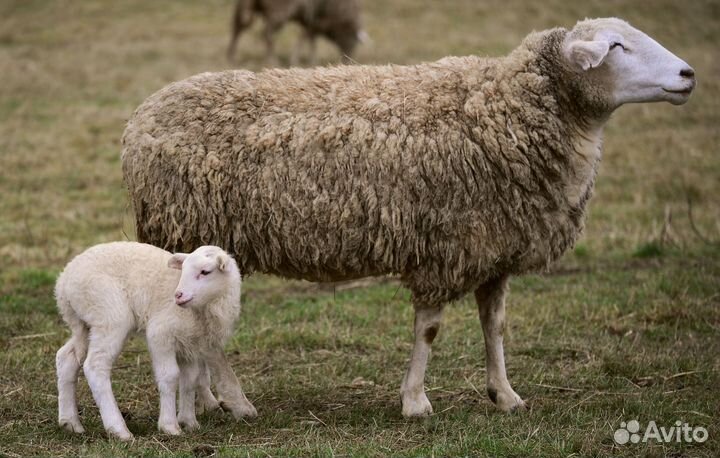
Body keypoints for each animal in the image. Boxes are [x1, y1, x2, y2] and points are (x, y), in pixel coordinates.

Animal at [55, 242, 257, 440]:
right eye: (183, 270)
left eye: (205, 272)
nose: (178, 295)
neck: (205, 309)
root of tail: (64, 282)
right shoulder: (160, 334)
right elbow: (170, 376)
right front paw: (170, 426)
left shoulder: (189, 343)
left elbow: (190, 380)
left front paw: (189, 422)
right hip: (109, 315)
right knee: (95, 366)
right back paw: (118, 429)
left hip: (83, 323)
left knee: (67, 357)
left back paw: (70, 423)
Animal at [121, 18, 696, 417]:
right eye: (616, 47)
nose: (689, 74)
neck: (507, 113)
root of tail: (139, 119)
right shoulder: (445, 247)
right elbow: (431, 330)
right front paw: (416, 402)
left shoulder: (494, 249)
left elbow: (495, 325)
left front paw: (505, 394)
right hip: (194, 231)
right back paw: (236, 403)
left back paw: (208, 402)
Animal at [227, 0, 367, 65]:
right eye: (352, 40)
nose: (347, 60)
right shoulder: (316, 19)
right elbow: (308, 39)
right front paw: (309, 61)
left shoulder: (309, 20)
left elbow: (306, 39)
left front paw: (297, 60)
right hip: (278, 11)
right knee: (267, 34)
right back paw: (272, 61)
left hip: (248, 5)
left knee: (237, 27)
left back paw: (232, 57)